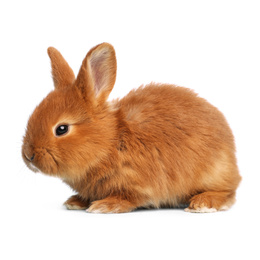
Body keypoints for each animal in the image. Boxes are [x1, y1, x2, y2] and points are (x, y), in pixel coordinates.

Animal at [22, 43, 242, 213]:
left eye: (62, 129)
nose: (28, 156)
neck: (111, 142)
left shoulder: (139, 184)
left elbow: (129, 198)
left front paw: (104, 206)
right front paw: (75, 202)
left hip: (213, 172)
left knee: (228, 192)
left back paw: (203, 203)